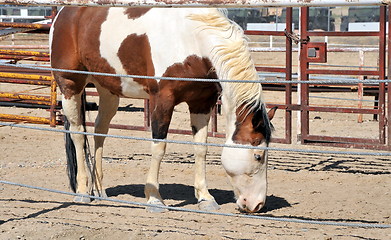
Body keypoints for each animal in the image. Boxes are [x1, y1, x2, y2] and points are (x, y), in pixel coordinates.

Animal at [49, 6, 276, 213]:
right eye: (258, 156)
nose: (257, 205)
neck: (192, 41)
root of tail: (64, 12)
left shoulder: (201, 103)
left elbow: (201, 148)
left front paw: (205, 198)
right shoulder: (162, 101)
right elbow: (159, 147)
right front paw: (154, 198)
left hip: (108, 90)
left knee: (99, 132)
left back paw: (100, 191)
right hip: (70, 86)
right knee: (78, 134)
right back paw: (82, 192)